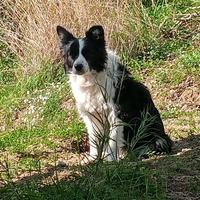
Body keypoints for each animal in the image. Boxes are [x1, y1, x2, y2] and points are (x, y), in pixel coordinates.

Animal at [56, 25, 172, 162]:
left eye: (87, 52)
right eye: (71, 54)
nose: (78, 66)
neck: (91, 78)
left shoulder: (117, 113)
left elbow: (113, 139)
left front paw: (109, 159)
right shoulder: (91, 115)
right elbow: (94, 139)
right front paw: (93, 159)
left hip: (156, 137)